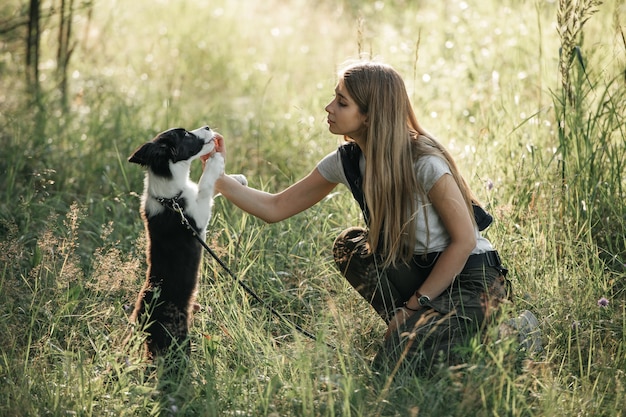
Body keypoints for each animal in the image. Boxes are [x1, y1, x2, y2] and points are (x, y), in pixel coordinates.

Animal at [127, 125, 232, 360]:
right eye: (185, 134)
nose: (208, 127)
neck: (170, 198)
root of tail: (143, 323)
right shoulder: (198, 215)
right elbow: (205, 186)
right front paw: (215, 161)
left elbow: (210, 189)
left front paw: (238, 179)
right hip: (177, 339)